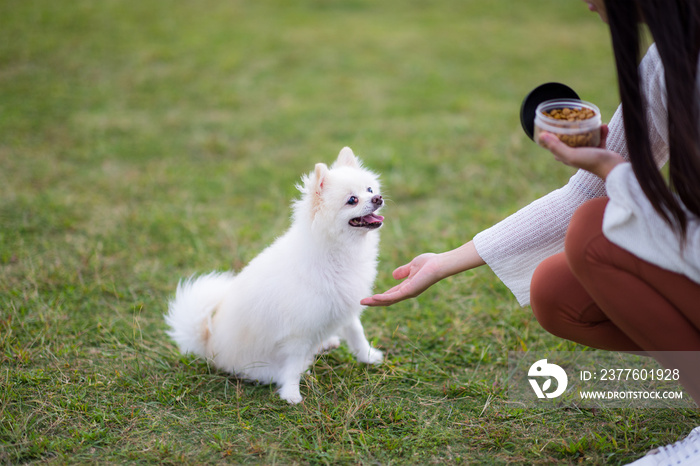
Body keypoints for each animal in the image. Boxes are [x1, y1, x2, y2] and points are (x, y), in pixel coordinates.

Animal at [165, 147, 382, 402]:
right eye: (352, 200)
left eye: (370, 190)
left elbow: (357, 332)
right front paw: (291, 393)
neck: (337, 253)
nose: (378, 198)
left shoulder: (345, 304)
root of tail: (209, 346)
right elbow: (293, 365)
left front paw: (368, 356)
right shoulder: (299, 332)